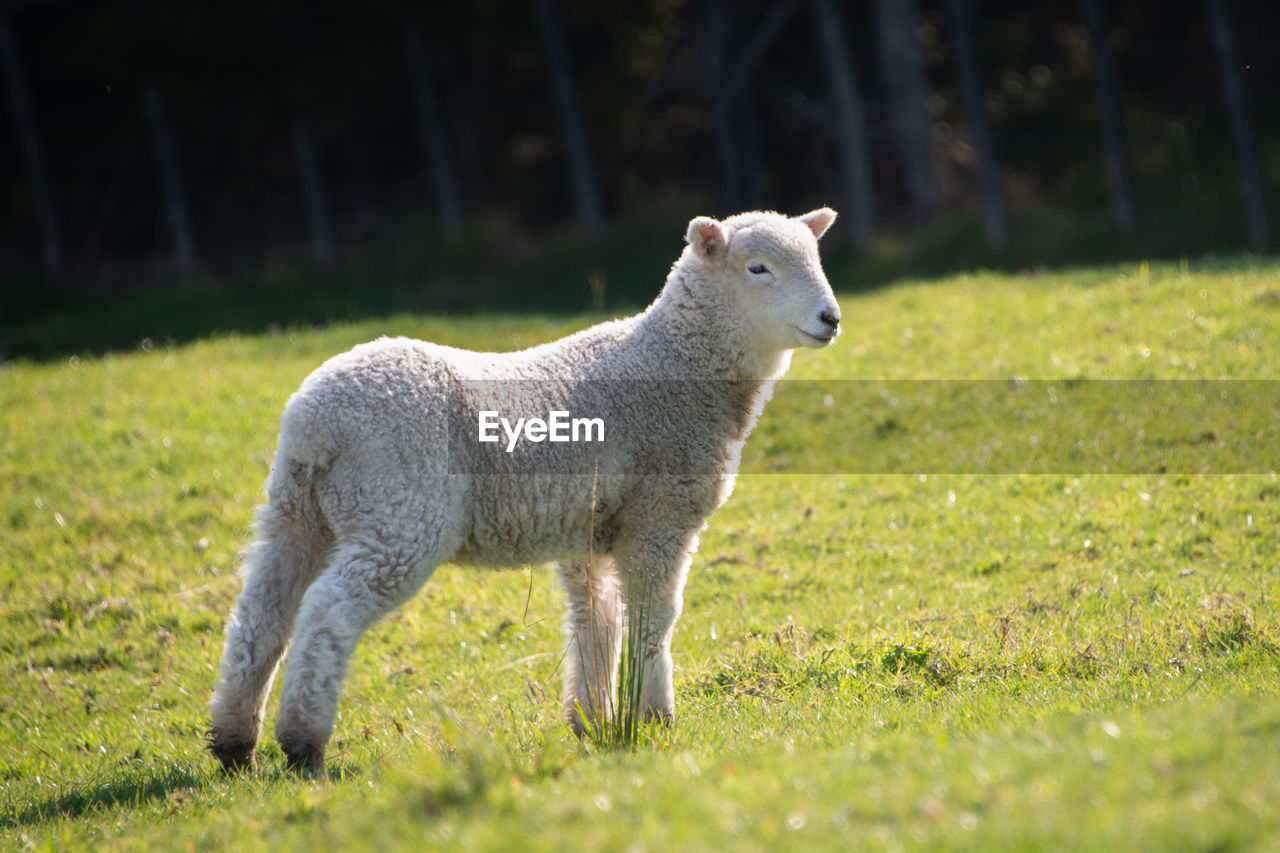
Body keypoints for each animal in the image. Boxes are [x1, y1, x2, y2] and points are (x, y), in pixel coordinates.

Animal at [206, 206, 844, 768]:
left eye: (816, 257)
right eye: (758, 268)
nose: (831, 318)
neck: (678, 362)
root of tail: (313, 423)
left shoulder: (588, 530)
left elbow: (595, 621)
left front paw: (594, 722)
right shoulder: (661, 517)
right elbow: (652, 620)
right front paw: (654, 719)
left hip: (295, 513)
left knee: (261, 615)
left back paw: (234, 745)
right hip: (400, 514)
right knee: (327, 611)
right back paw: (302, 745)